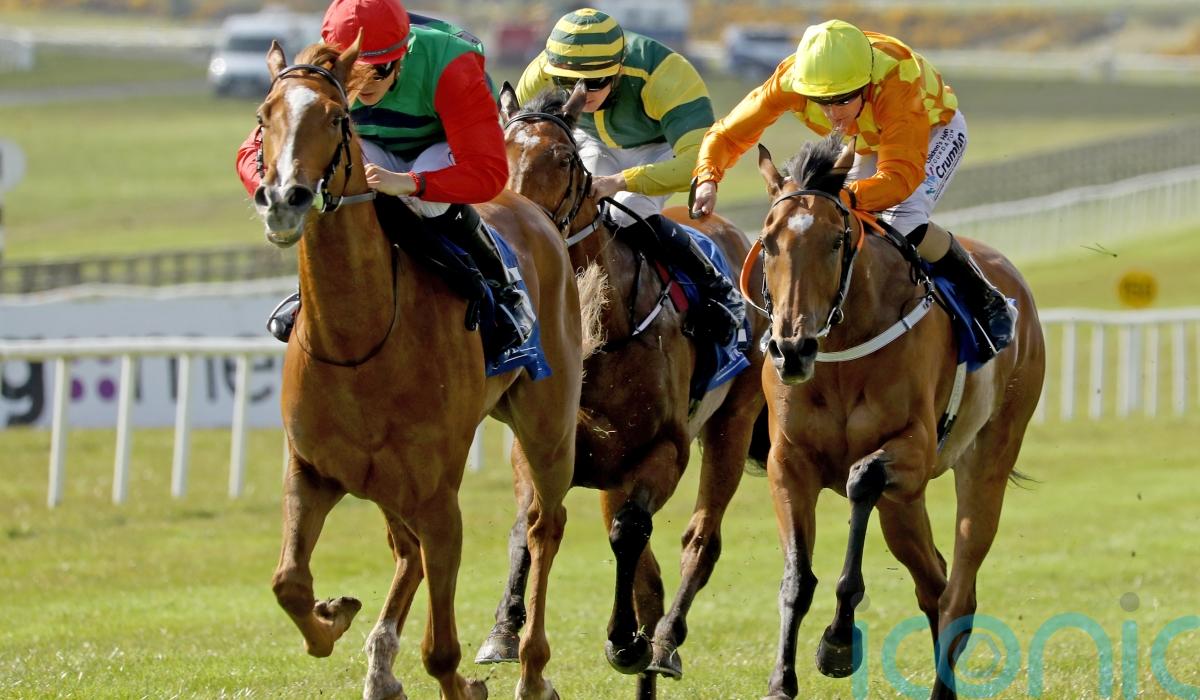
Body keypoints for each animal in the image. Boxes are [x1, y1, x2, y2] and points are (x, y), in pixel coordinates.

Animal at [253, 39, 586, 700]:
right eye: (264, 115)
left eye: (336, 117)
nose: (284, 199)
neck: (359, 338)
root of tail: (529, 208)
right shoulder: (311, 471)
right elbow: (289, 583)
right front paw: (334, 617)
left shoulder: (438, 497)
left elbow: (441, 649)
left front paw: (468, 682)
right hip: (386, 481)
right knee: (404, 548)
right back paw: (380, 660)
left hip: (549, 427)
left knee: (544, 524)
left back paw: (532, 669)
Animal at [486, 82, 770, 698]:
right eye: (501, 152)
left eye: (563, 159)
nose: (519, 227)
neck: (599, 332)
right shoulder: (542, 447)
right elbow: (527, 524)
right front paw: (504, 629)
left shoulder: (664, 451)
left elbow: (629, 534)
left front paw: (625, 642)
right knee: (650, 575)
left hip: (732, 424)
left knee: (699, 541)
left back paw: (662, 643)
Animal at [752, 135, 1045, 700]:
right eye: (768, 242)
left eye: (836, 241)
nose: (791, 349)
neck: (841, 352)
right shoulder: (788, 464)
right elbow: (796, 577)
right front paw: (781, 681)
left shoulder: (913, 449)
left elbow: (861, 480)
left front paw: (838, 642)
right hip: (904, 507)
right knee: (934, 581)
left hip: (986, 460)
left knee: (958, 591)